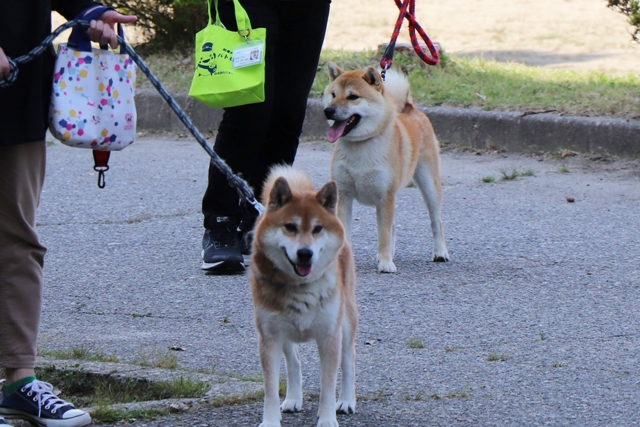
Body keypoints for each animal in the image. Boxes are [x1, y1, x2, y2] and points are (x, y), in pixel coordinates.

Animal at [250, 166, 360, 426]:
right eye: (290, 227)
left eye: (318, 229)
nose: (305, 253)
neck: (299, 286)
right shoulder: (269, 337)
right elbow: (270, 388)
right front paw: (270, 421)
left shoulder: (329, 335)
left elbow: (327, 385)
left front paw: (327, 418)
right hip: (283, 331)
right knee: (294, 361)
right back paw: (292, 398)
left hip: (346, 319)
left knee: (348, 358)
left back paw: (347, 400)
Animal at [322, 61, 448, 272]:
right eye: (333, 94)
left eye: (353, 96)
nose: (328, 111)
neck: (361, 145)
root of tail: (409, 107)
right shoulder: (344, 195)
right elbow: (349, 232)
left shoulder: (384, 196)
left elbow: (383, 234)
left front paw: (385, 263)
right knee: (394, 227)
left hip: (429, 184)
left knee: (435, 221)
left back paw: (440, 252)